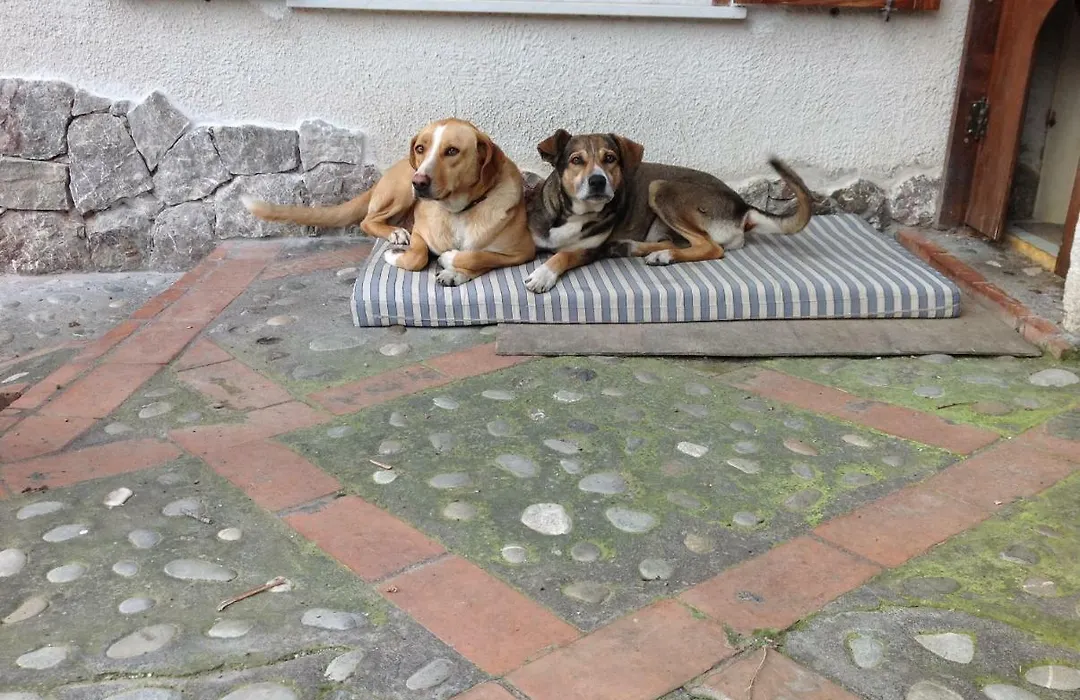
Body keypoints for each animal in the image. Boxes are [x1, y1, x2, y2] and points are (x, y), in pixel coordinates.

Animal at [245, 118, 535, 286]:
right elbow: (418, 256)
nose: (419, 182)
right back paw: (395, 234)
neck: (458, 211)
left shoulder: (523, 252)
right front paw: (395, 256)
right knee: (368, 220)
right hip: (401, 193)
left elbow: (480, 256)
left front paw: (454, 267)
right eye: (420, 148)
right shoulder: (420, 234)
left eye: (452, 151)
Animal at [523, 129, 812, 293]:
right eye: (576, 160)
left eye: (610, 158)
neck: (573, 213)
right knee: (675, 241)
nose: (597, 181)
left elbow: (563, 255)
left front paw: (542, 275)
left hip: (660, 188)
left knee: (710, 247)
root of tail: (743, 207)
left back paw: (662, 255)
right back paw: (639, 249)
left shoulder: (589, 249)